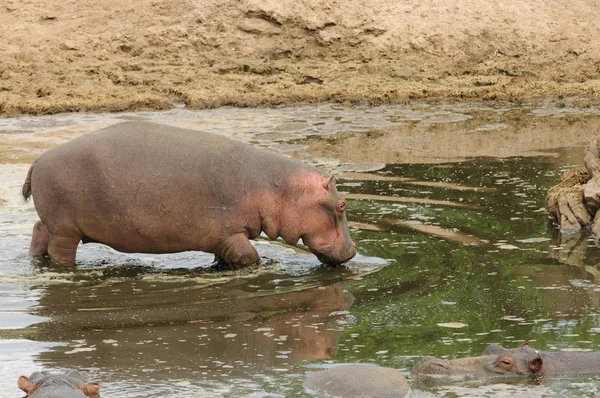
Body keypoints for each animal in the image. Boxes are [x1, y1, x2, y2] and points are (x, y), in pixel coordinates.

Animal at [23, 121, 356, 268]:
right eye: (341, 205)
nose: (353, 251)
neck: (281, 188)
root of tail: (38, 159)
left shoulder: (222, 239)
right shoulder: (231, 233)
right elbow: (249, 256)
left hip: (53, 223)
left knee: (38, 232)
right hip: (66, 229)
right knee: (60, 251)